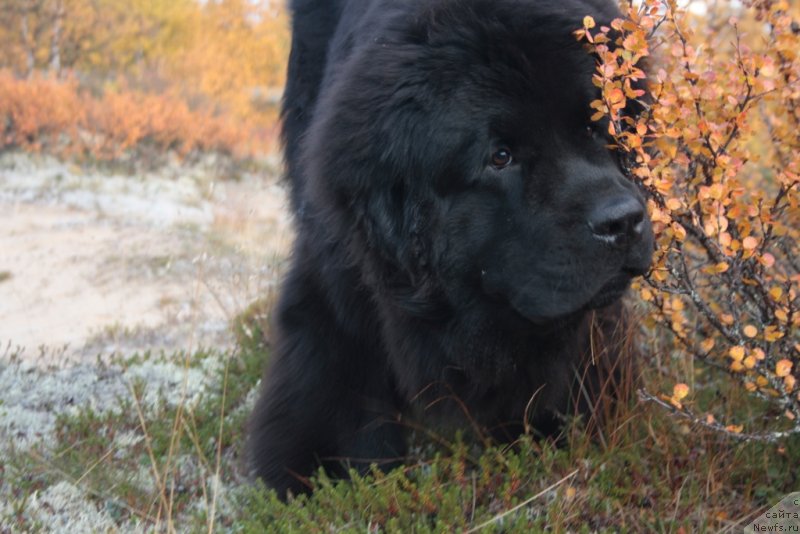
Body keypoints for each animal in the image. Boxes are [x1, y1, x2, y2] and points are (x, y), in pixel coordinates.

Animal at [248, 0, 648, 498]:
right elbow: (333, 366)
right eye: (500, 157)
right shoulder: (340, 266)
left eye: (596, 127)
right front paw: (325, 476)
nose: (623, 220)